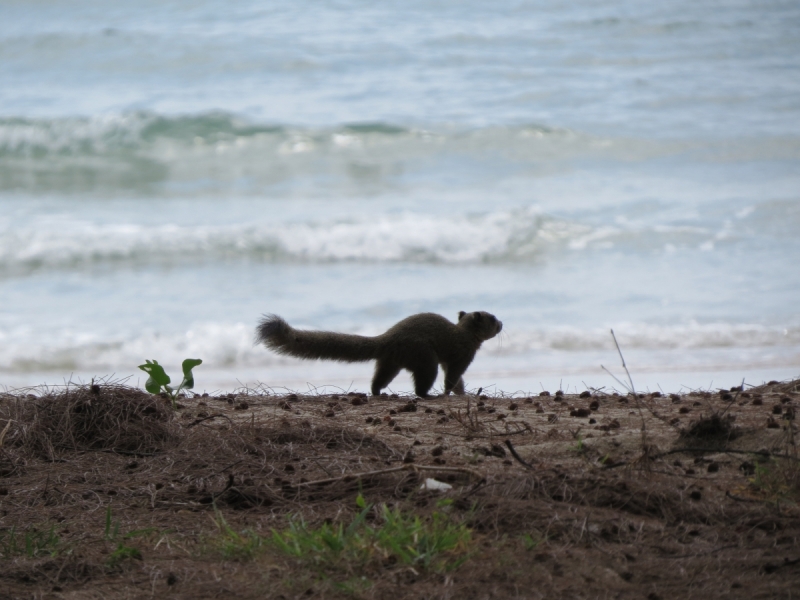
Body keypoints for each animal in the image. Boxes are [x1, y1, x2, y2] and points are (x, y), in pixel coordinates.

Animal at [256, 310, 504, 398]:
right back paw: (428, 395)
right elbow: (452, 377)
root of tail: (387, 338)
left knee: (378, 380)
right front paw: (453, 393)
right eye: (492, 319)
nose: (502, 323)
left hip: (390, 362)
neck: (464, 332)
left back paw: (377, 392)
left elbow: (457, 379)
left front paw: (462, 392)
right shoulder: (462, 356)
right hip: (425, 359)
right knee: (421, 385)